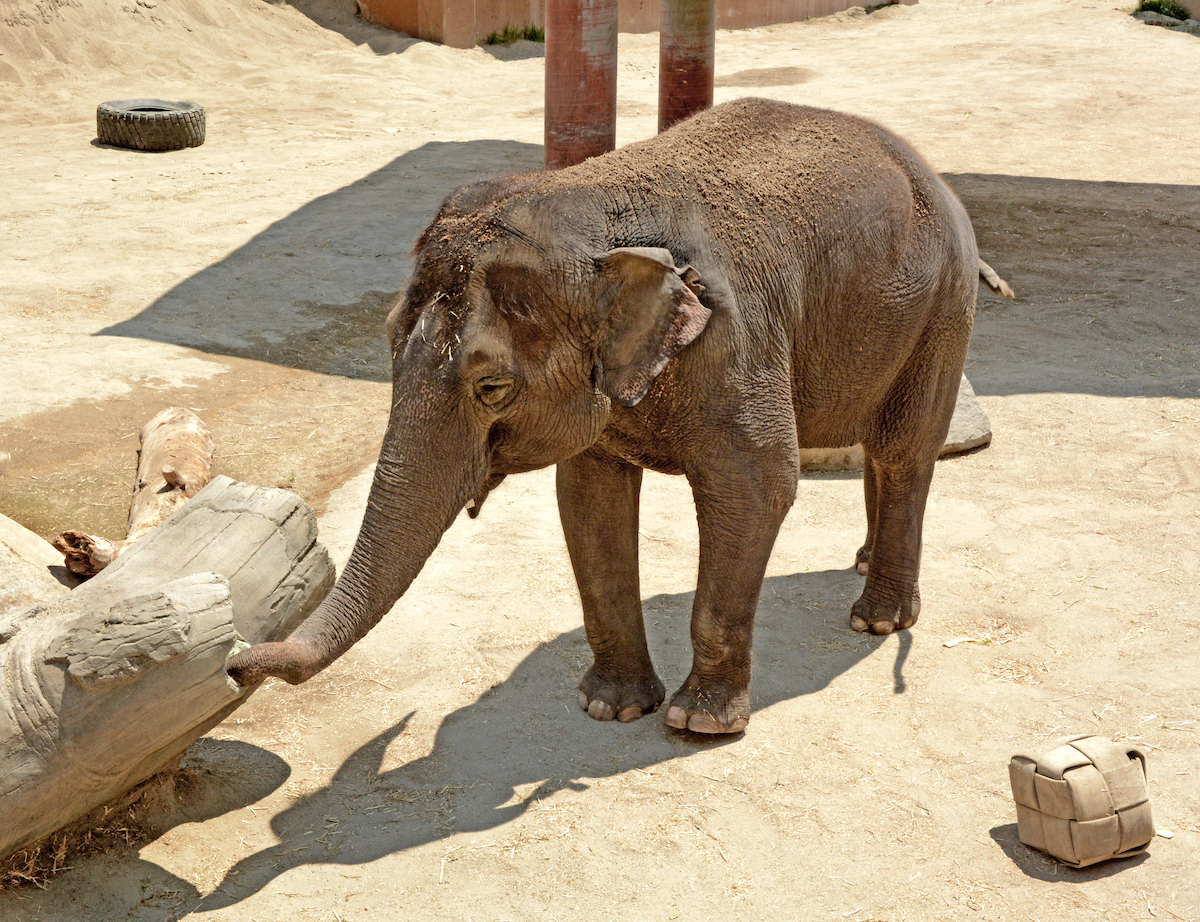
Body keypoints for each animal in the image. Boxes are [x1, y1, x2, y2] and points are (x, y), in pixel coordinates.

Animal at [226, 99, 1012, 734]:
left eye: (491, 387)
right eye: (387, 341)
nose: (237, 663)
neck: (592, 199)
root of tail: (923, 163)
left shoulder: (738, 340)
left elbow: (760, 486)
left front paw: (698, 725)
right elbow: (587, 499)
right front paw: (610, 708)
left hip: (945, 302)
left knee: (902, 446)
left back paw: (876, 618)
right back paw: (861, 567)